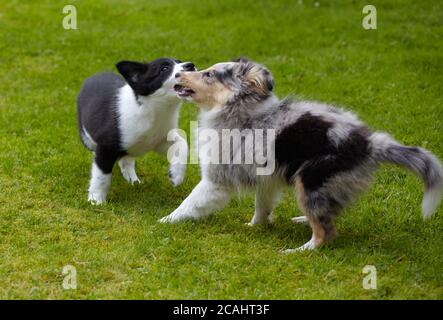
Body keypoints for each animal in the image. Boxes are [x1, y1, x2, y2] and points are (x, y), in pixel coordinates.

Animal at [77, 58, 195, 204]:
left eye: (180, 61)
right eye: (164, 69)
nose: (191, 65)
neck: (153, 109)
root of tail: (93, 76)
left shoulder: (159, 140)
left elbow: (182, 143)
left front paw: (176, 176)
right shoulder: (106, 147)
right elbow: (101, 174)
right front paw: (96, 200)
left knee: (126, 159)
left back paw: (133, 180)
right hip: (87, 137)